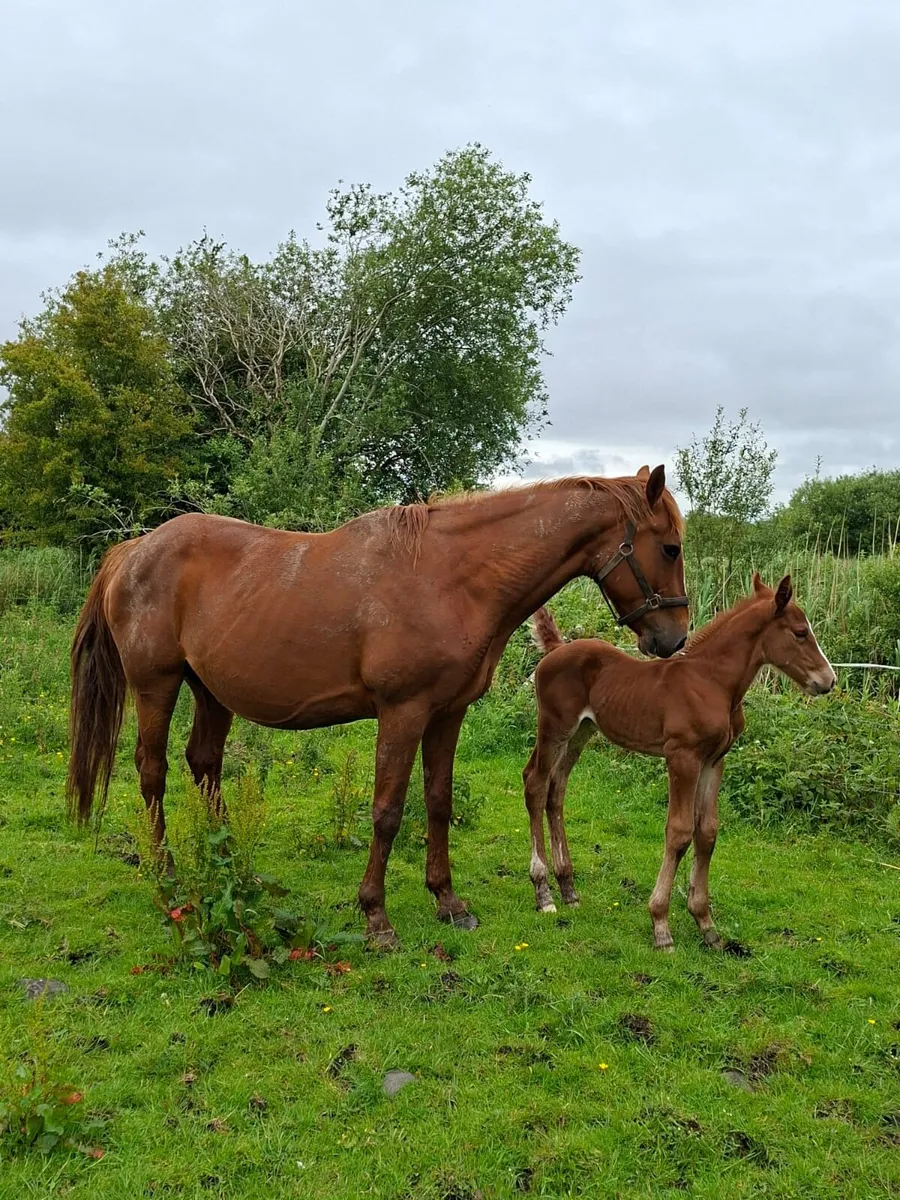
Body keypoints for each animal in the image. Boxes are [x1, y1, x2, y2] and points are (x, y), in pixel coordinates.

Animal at [67, 465, 688, 946]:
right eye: (670, 547)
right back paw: (169, 875)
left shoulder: (447, 714)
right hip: (157, 685)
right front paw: (376, 917)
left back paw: (226, 863)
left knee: (204, 764)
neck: (451, 578)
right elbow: (387, 812)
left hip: (211, 692)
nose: (674, 639)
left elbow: (437, 803)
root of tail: (135, 549)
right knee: (152, 771)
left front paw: (448, 901)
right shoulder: (402, 712)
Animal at [523, 573, 835, 950]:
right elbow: (679, 832)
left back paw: (568, 888)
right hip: (555, 728)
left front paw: (706, 924)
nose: (828, 680)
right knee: (535, 784)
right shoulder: (682, 757)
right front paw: (661, 925)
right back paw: (544, 893)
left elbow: (707, 831)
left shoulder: (714, 761)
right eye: (801, 633)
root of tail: (556, 649)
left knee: (556, 791)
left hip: (581, 733)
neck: (712, 682)